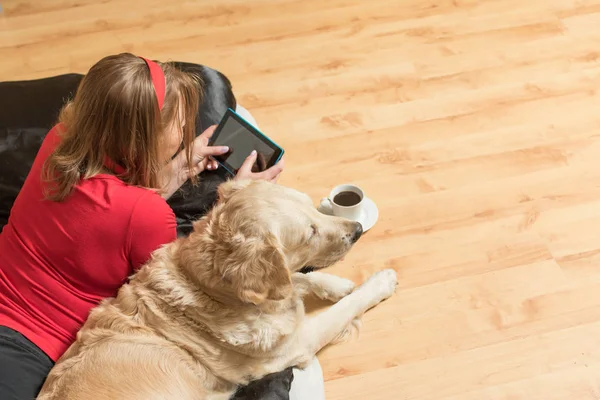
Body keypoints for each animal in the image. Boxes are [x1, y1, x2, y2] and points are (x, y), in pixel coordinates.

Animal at [35, 180, 396, 398]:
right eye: (310, 232)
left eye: (312, 207)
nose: (358, 229)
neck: (208, 290)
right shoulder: (296, 344)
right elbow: (341, 308)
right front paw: (379, 282)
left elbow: (298, 280)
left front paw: (337, 284)